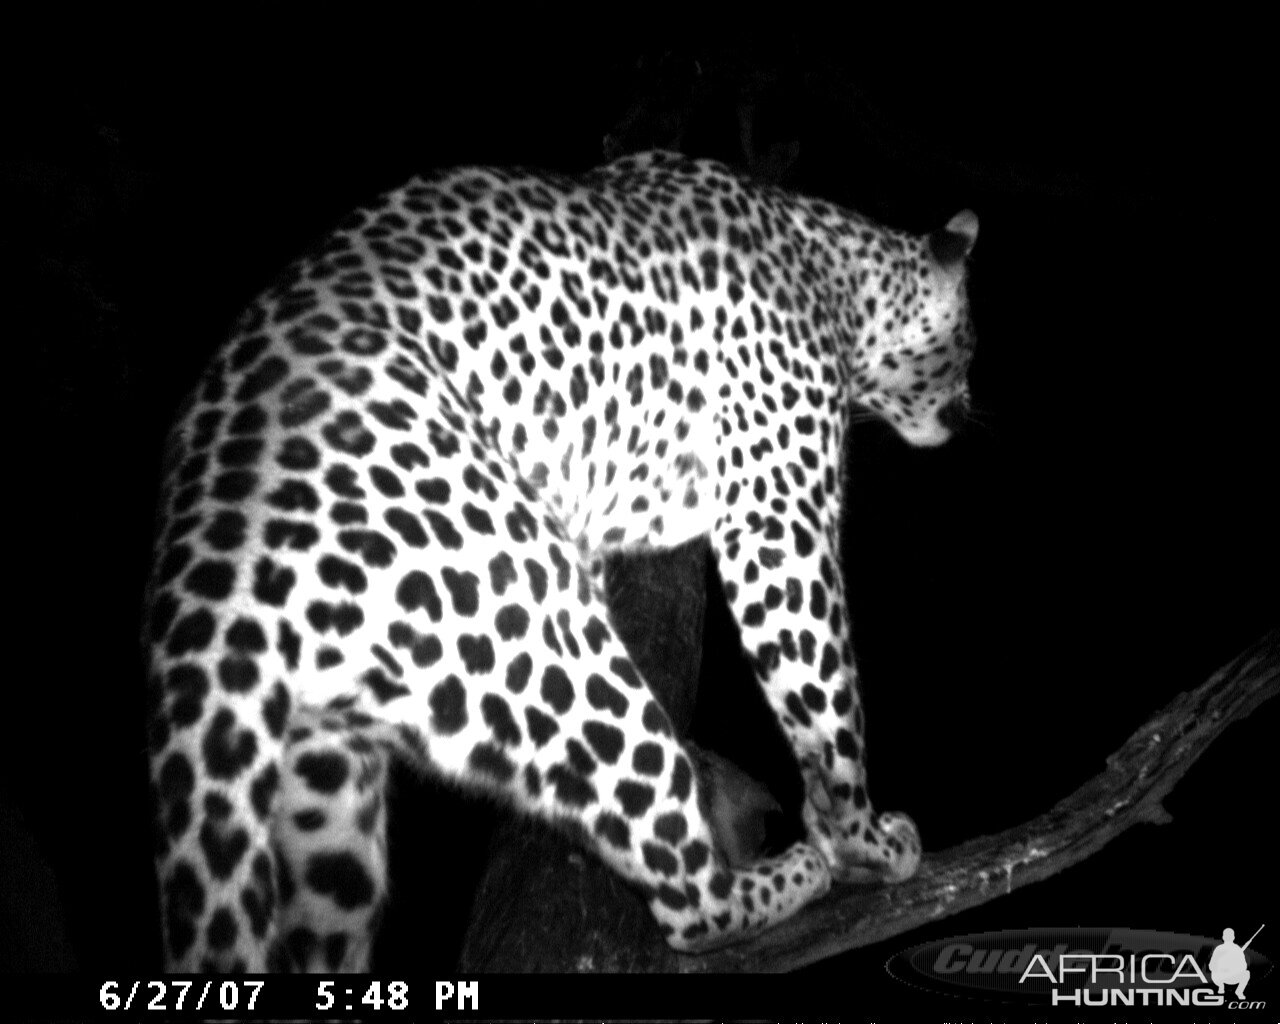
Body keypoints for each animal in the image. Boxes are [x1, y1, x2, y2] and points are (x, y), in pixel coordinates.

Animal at [142, 149, 977, 967]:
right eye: (969, 344)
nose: (966, 412)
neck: (831, 270)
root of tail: (214, 536)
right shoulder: (777, 519)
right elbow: (825, 698)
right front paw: (861, 838)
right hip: (538, 630)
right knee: (690, 900)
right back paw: (784, 875)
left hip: (325, 780)